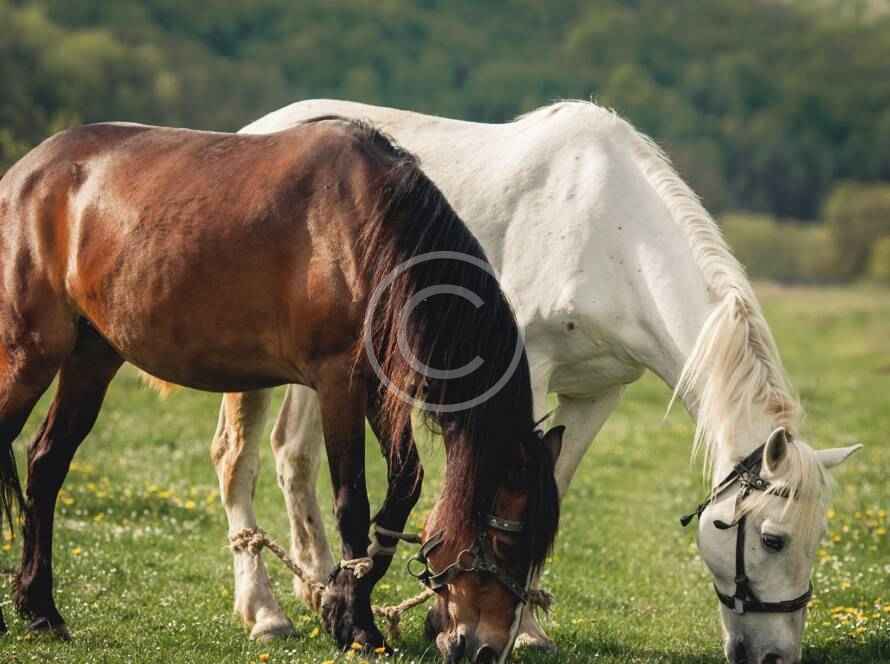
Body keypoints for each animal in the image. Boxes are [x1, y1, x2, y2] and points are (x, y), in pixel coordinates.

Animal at [0, 117, 563, 661]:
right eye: (506, 543)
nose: (486, 649)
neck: (369, 230)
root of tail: (23, 176)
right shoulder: (339, 383)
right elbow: (351, 502)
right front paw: (358, 626)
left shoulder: (377, 391)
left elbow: (404, 486)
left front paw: (339, 602)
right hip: (29, 355)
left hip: (91, 359)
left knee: (47, 463)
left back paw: (40, 610)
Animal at [209, 100, 863, 664]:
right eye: (773, 539)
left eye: (818, 537)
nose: (775, 656)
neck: (614, 236)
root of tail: (256, 131)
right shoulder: (522, 375)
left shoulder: (598, 392)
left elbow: (554, 485)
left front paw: (523, 626)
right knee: (237, 459)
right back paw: (266, 613)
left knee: (293, 455)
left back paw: (320, 587)